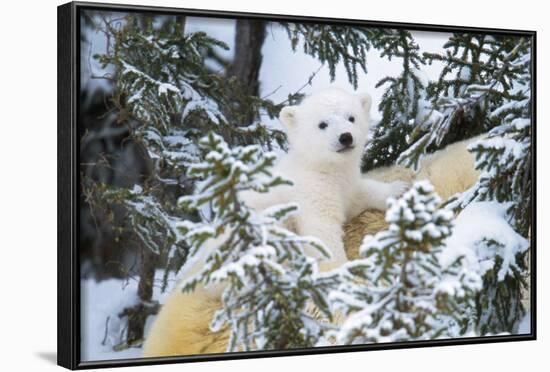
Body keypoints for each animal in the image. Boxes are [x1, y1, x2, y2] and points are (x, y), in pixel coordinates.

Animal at [143, 88, 484, 358]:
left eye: (351, 118)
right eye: (322, 124)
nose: (345, 137)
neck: (322, 169)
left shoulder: (347, 186)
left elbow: (362, 194)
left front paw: (397, 192)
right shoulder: (310, 195)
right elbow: (323, 234)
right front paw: (341, 274)